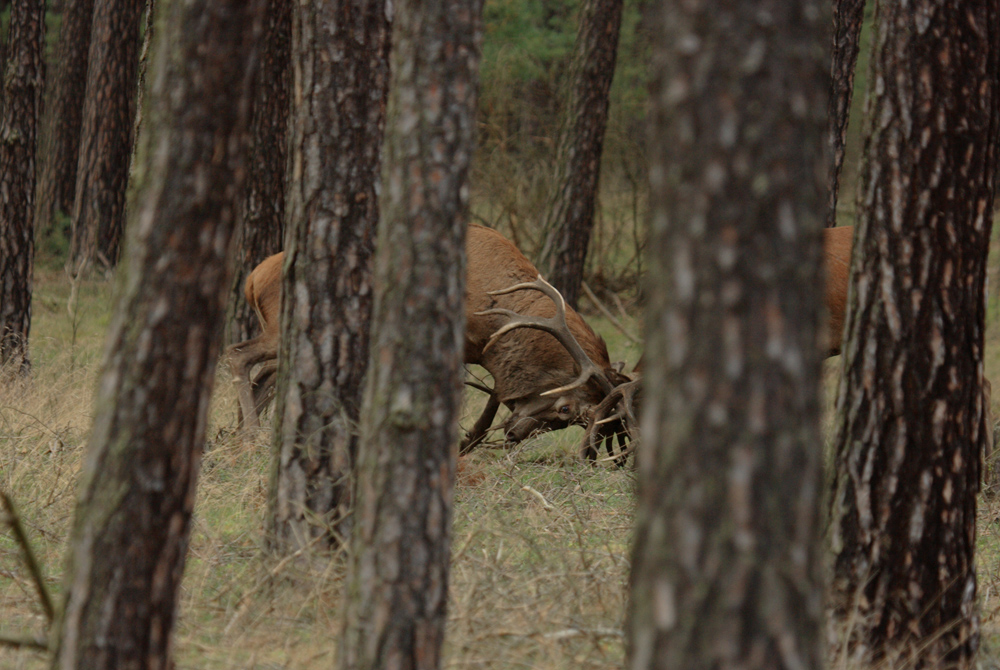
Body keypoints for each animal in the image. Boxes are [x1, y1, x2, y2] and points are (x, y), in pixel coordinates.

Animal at [229, 226, 628, 446]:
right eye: (565, 409)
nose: (515, 435)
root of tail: (252, 278)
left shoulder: (482, 352)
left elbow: (490, 405)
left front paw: (466, 444)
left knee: (264, 375)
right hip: (280, 328)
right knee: (238, 354)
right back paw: (248, 434)